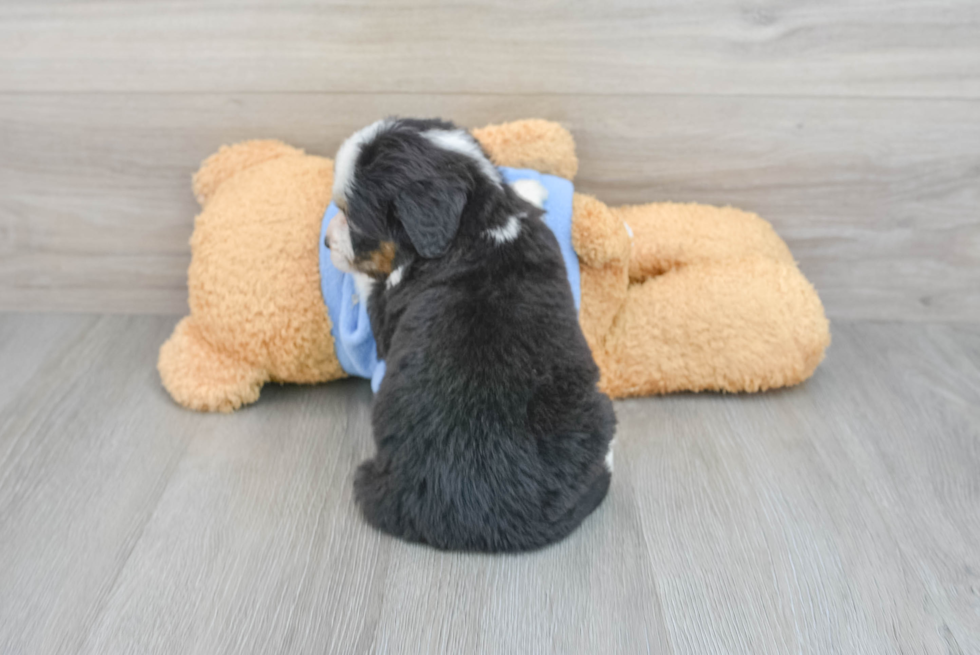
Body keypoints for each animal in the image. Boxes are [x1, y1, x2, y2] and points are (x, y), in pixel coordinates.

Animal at [324, 118, 612, 552]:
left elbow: (369, 282)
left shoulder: (386, 317)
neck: (472, 226)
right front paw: (531, 187)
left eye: (352, 219)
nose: (326, 241)